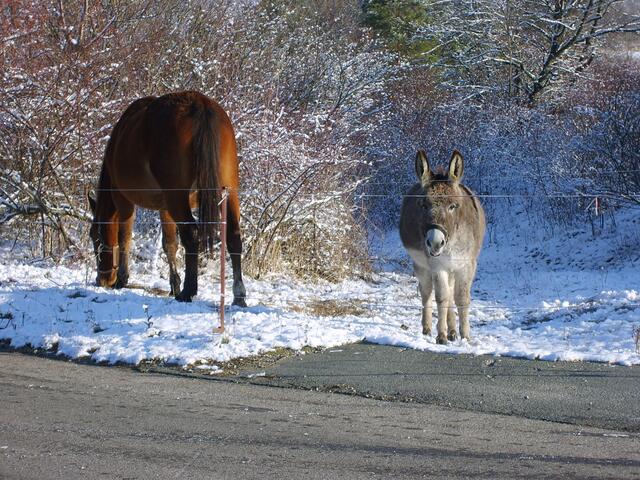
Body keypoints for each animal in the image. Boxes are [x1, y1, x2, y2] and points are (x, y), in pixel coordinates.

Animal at [88, 91, 247, 306]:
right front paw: (174, 284)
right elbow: (170, 244)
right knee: (233, 238)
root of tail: (200, 104)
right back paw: (238, 295)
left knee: (191, 235)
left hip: (177, 198)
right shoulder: (165, 208)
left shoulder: (123, 200)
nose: (102, 279)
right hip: (227, 193)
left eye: (94, 237)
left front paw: (122, 279)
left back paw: (188, 291)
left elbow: (125, 237)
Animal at [399, 150, 485, 344]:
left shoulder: (467, 265)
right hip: (421, 265)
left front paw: (465, 336)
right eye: (423, 205)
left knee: (451, 293)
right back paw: (427, 329)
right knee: (427, 293)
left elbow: (461, 298)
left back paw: (453, 331)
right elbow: (441, 298)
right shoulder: (437, 266)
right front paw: (441, 335)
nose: (435, 242)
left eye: (453, 206)